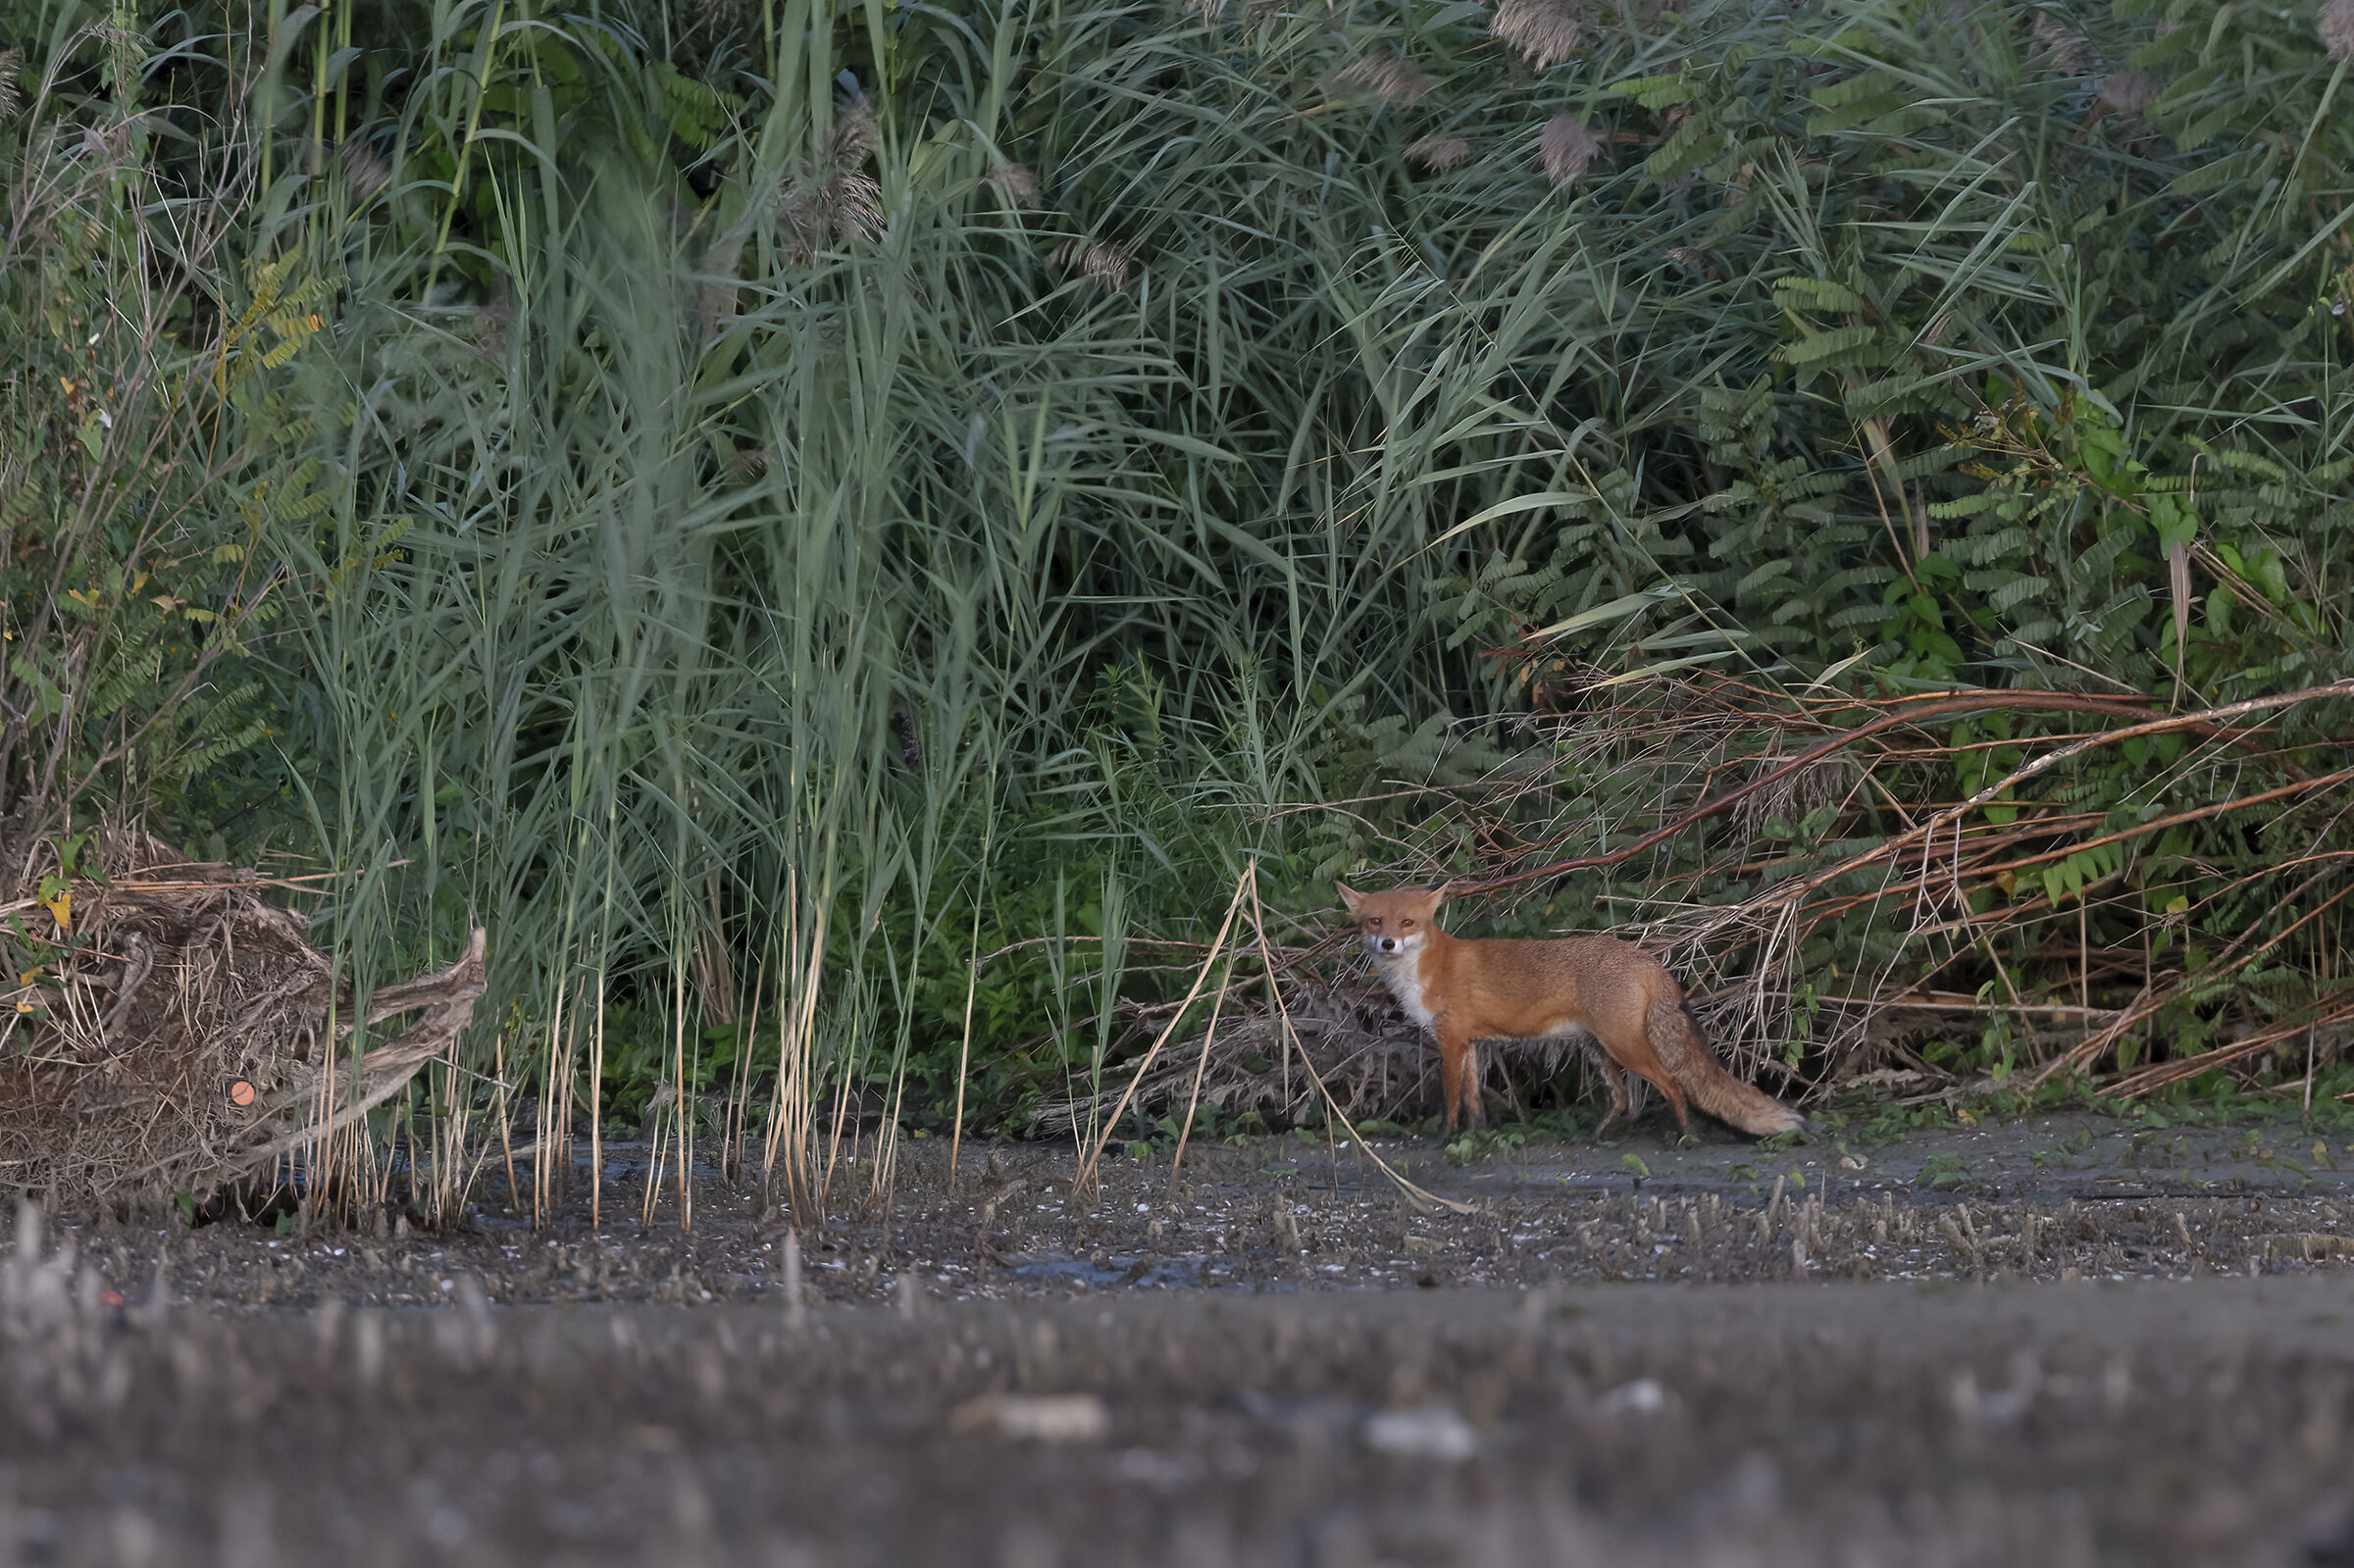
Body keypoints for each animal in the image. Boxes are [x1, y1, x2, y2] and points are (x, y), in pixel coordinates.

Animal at [1336, 881, 1804, 1140]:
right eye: (1375, 921)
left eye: (1408, 923)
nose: (1388, 943)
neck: (1428, 969)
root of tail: (1646, 958)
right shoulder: (1468, 1042)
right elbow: (1473, 1101)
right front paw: (1475, 1135)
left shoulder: (1450, 1040)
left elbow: (1452, 1100)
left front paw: (1444, 1140)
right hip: (1599, 1048)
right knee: (1622, 1099)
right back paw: (1599, 1135)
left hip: (1623, 1045)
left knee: (1672, 1086)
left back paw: (1685, 1136)